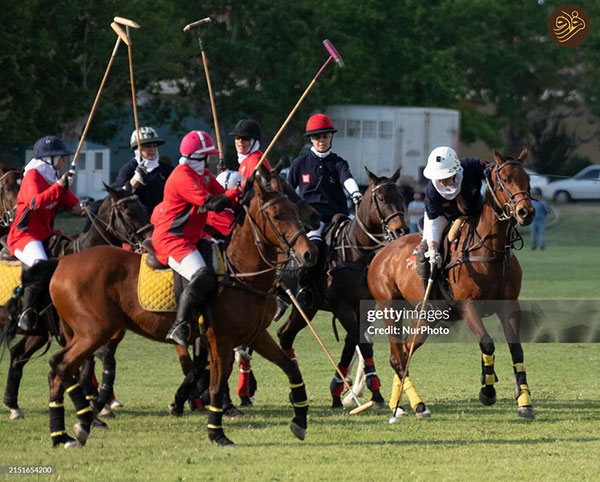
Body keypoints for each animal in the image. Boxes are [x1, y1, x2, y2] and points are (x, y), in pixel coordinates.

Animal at [1, 186, 151, 420]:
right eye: (127, 210)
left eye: (142, 206)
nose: (149, 241)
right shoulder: (78, 335)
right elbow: (93, 363)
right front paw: (96, 402)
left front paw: (97, 403)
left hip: (39, 332)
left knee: (18, 354)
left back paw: (13, 405)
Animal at [38, 174, 316, 448]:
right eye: (277, 215)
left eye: (294, 210)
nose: (308, 254)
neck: (240, 273)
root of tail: (62, 263)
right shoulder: (221, 340)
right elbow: (215, 386)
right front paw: (217, 433)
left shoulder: (255, 335)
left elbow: (291, 368)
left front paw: (300, 420)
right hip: (93, 333)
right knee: (62, 367)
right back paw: (74, 427)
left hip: (91, 333)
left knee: (63, 368)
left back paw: (69, 429)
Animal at [276, 168, 408, 408]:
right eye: (382, 198)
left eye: (401, 197)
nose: (401, 230)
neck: (356, 250)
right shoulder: (341, 305)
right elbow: (360, 342)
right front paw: (368, 391)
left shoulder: (364, 306)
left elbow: (353, 343)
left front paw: (342, 391)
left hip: (308, 308)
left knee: (285, 335)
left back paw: (295, 389)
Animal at [368, 149, 536, 420]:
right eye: (505, 180)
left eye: (527, 179)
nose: (526, 212)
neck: (492, 249)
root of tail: (383, 251)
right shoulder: (467, 305)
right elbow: (487, 342)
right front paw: (487, 392)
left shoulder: (509, 305)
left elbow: (516, 349)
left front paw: (524, 402)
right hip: (389, 307)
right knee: (398, 358)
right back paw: (417, 406)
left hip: (424, 318)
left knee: (404, 352)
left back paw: (401, 405)